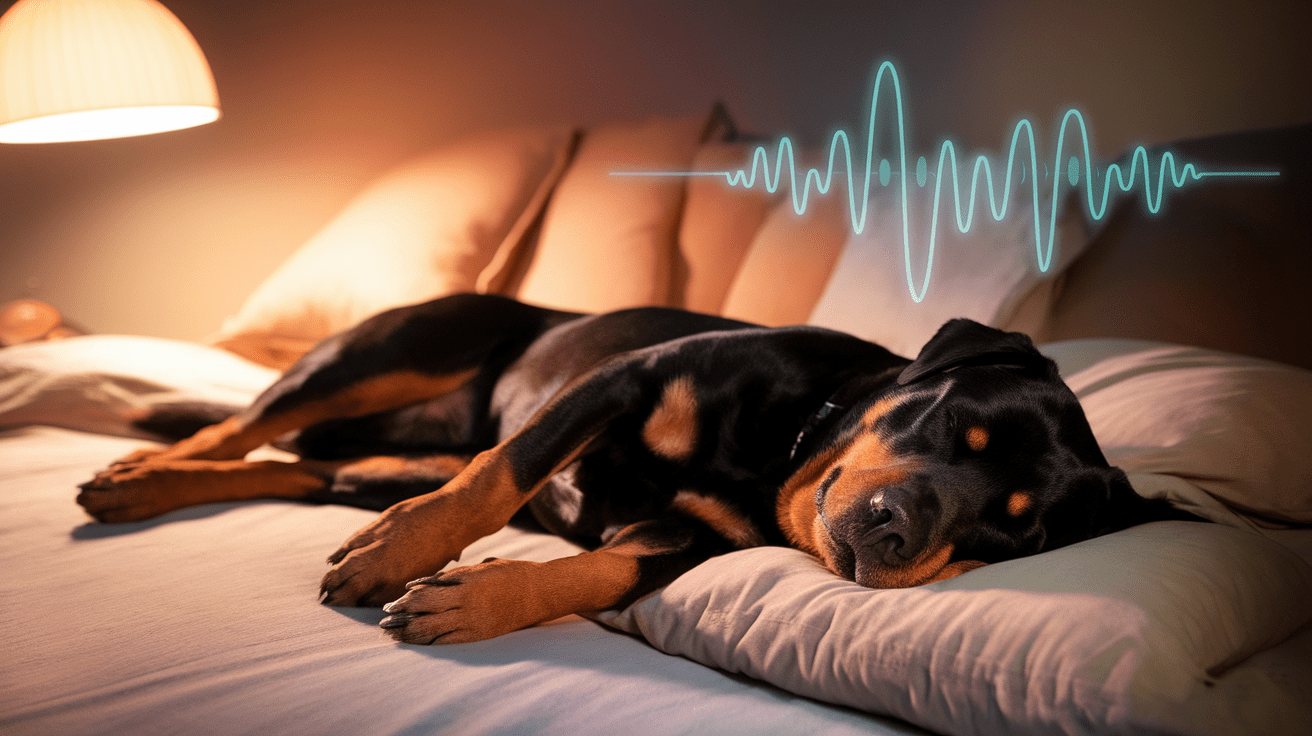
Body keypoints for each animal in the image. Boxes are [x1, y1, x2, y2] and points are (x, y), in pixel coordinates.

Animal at [79, 292, 1191, 642]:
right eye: (955, 420)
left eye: (1007, 531)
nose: (894, 528)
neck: (779, 451)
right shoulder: (622, 380)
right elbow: (499, 476)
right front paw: (402, 557)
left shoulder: (688, 538)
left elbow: (598, 568)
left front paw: (475, 600)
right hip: (389, 350)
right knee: (244, 427)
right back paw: (138, 473)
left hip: (378, 458)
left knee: (286, 469)